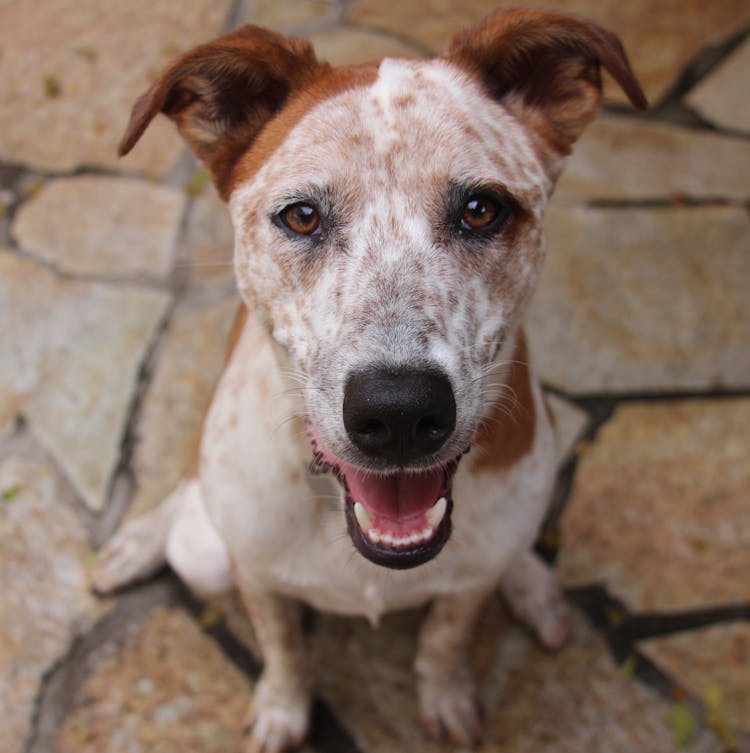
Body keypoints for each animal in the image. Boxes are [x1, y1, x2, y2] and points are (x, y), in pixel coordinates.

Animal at [92, 8, 648, 748]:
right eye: (302, 215)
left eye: (482, 209)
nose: (399, 413)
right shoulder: (256, 575)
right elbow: (284, 648)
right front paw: (281, 708)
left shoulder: (467, 584)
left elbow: (446, 636)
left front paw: (447, 696)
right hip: (205, 550)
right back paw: (137, 542)